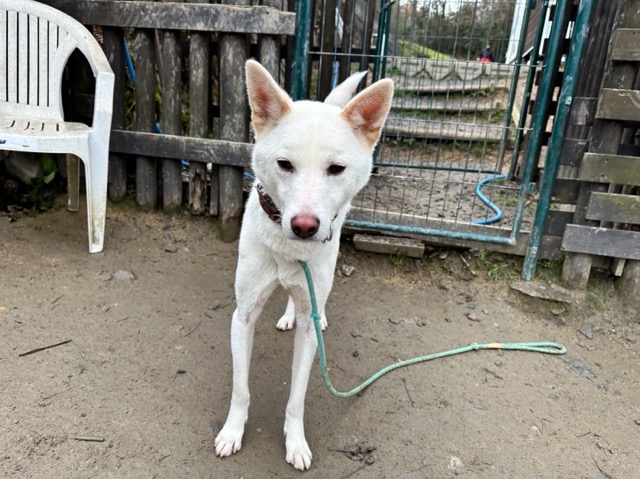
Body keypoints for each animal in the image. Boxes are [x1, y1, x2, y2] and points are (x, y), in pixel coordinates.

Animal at [214, 60, 393, 470]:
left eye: (336, 168)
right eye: (285, 165)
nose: (305, 227)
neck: (286, 246)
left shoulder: (308, 333)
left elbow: (296, 397)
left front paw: (295, 442)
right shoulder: (242, 316)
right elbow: (240, 388)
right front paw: (232, 432)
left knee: (314, 299)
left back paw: (317, 314)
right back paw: (287, 315)